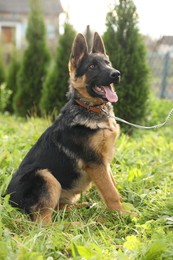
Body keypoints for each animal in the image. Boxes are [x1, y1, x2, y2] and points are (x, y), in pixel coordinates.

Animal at [5, 32, 125, 223]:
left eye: (108, 63)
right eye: (92, 66)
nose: (116, 74)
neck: (89, 108)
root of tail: (8, 201)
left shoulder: (104, 163)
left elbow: (113, 186)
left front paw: (123, 210)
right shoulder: (96, 163)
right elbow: (111, 193)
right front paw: (125, 215)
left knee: (58, 212)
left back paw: (82, 209)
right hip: (46, 176)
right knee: (44, 224)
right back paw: (77, 225)